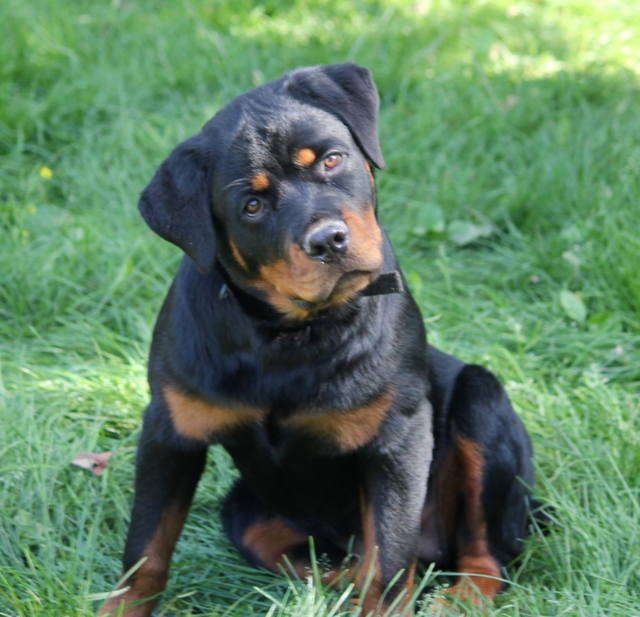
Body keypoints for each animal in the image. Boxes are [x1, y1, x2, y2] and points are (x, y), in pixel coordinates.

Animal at [102, 62, 536, 616]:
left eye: (332, 159)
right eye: (252, 205)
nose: (328, 240)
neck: (289, 336)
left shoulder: (399, 438)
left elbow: (391, 559)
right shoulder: (169, 430)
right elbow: (146, 549)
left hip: (483, 406)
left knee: (485, 554)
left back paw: (455, 598)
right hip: (243, 509)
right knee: (317, 555)